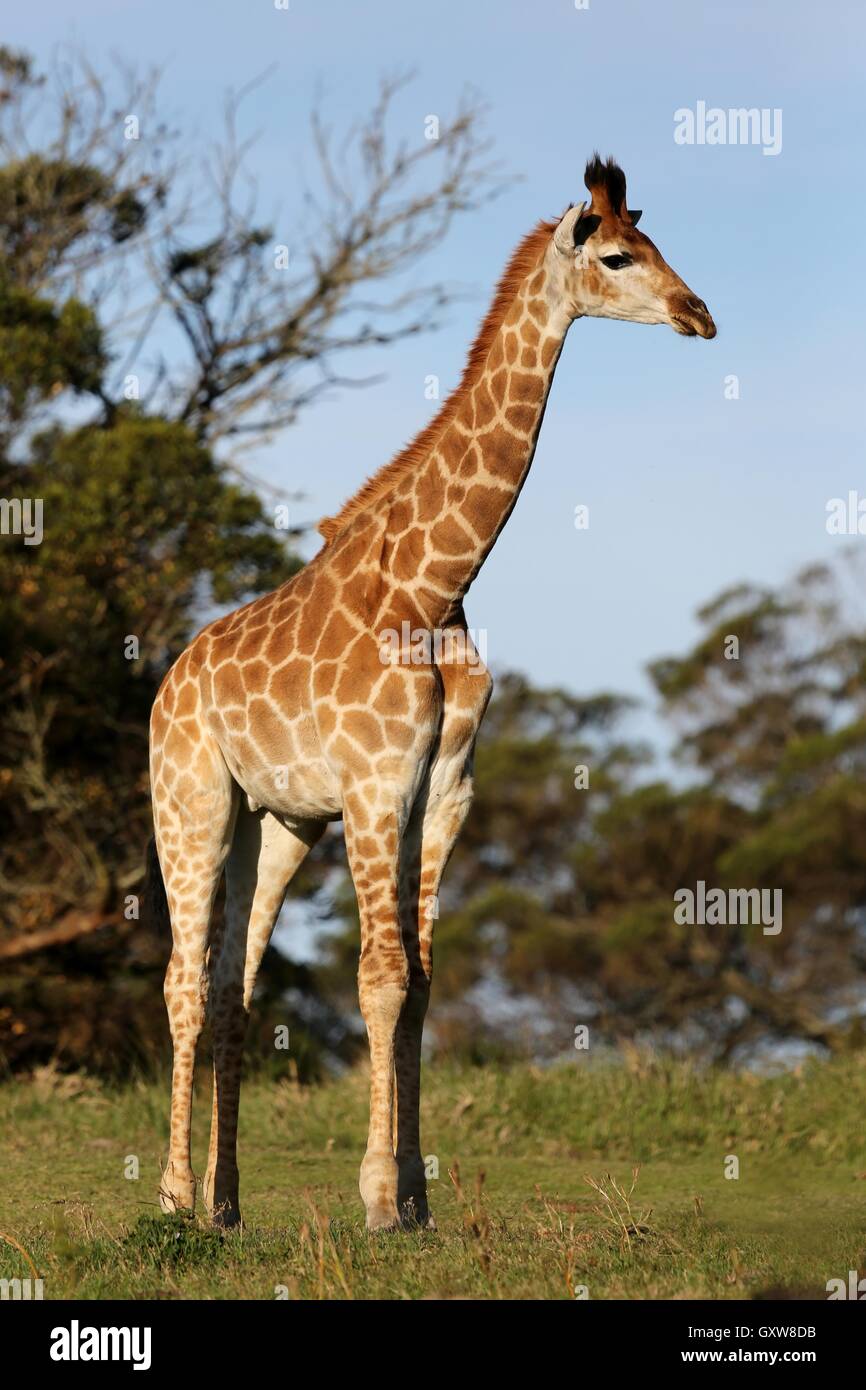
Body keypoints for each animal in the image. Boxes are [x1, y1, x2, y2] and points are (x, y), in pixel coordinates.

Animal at [148, 155, 716, 1232]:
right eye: (618, 257)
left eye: (659, 244)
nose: (698, 313)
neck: (434, 581)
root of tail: (166, 682)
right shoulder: (375, 784)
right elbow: (377, 977)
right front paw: (378, 1197)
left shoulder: (440, 790)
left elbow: (416, 982)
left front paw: (415, 1194)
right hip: (189, 800)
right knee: (183, 983)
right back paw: (169, 1200)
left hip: (275, 821)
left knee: (236, 984)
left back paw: (226, 1205)